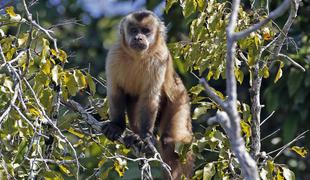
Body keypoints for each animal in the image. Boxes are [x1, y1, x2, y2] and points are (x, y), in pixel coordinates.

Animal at [102, 10, 194, 179]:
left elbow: (149, 98)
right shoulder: (114, 54)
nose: (139, 37)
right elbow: (115, 91)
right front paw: (117, 126)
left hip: (181, 99)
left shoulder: (160, 58)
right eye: (133, 30)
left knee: (171, 140)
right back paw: (135, 138)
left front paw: (145, 137)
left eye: (146, 31)